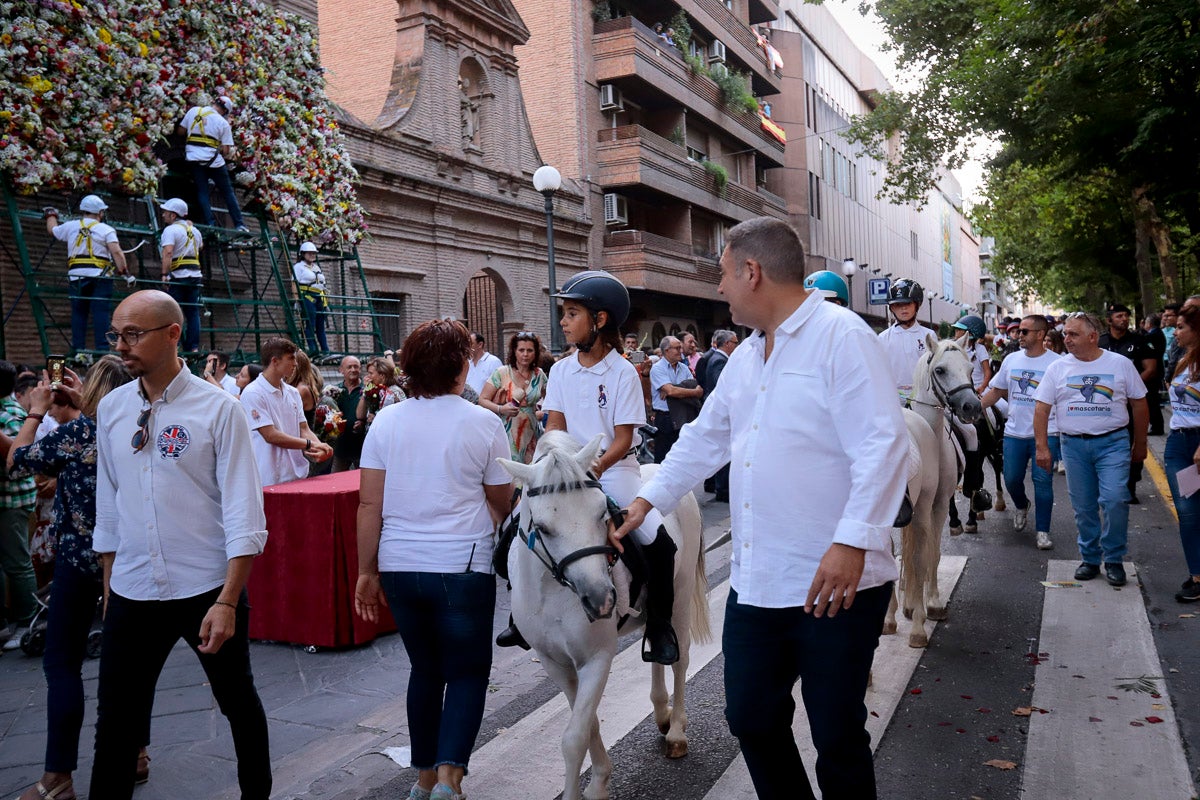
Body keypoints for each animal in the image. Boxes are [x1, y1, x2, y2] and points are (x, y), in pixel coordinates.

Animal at [496, 431, 710, 800]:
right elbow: (588, 723)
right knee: (658, 645)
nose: (601, 599)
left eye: (601, 514)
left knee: (680, 660)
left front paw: (586, 790)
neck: (555, 592)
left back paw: (676, 733)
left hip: (681, 597)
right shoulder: (555, 663)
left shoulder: (596, 658)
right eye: (543, 527)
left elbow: (574, 737)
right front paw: (598, 780)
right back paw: (661, 711)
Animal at [888, 335, 979, 647]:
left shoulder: (937, 505)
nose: (971, 407)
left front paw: (931, 604)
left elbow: (932, 555)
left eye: (971, 368)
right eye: (940, 370)